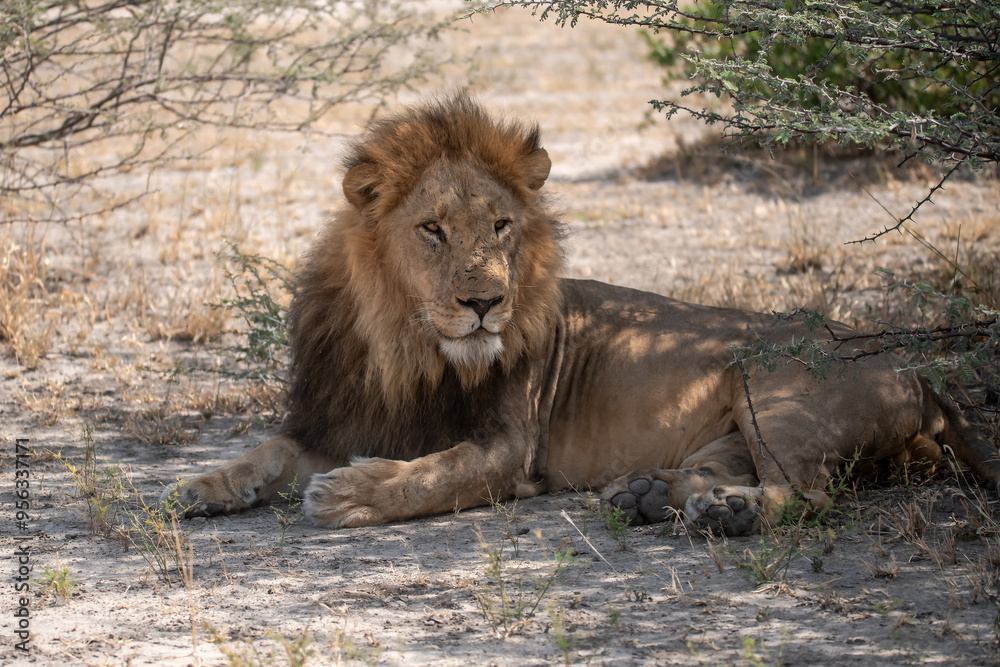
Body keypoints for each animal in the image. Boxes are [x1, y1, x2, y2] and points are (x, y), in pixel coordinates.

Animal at [162, 95, 1000, 535]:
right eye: (431, 229)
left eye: (501, 226)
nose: (485, 302)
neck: (406, 348)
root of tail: (916, 368)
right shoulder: (331, 418)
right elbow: (264, 453)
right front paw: (197, 486)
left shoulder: (509, 447)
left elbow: (432, 473)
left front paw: (350, 494)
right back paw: (651, 494)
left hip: (773, 385)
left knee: (809, 493)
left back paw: (721, 512)